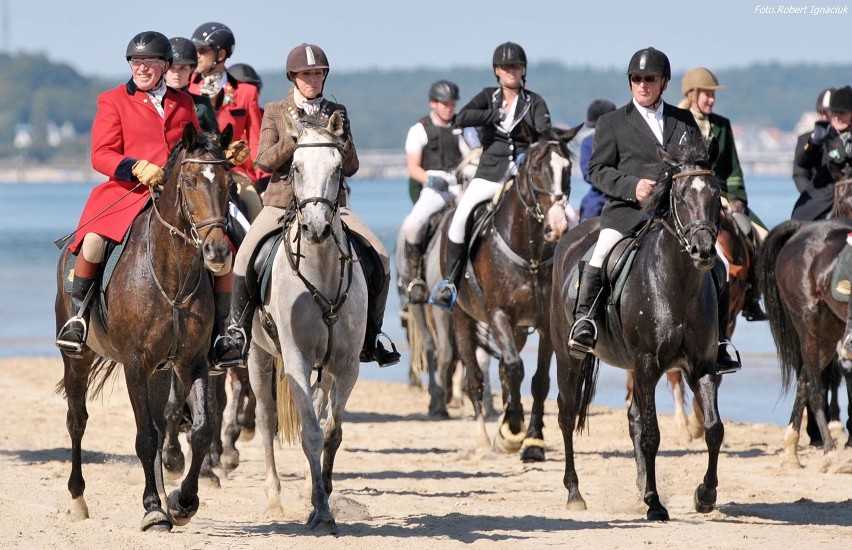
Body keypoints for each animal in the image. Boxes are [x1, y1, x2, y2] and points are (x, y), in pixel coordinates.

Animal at [436, 125, 576, 462]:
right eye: (535, 168)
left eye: (567, 169)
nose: (558, 226)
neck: (531, 252)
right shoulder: (499, 315)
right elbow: (514, 368)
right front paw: (512, 427)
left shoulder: (544, 324)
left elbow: (538, 381)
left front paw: (533, 441)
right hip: (462, 319)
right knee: (475, 379)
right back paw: (484, 440)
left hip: (519, 329)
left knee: (502, 371)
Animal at [548, 142, 724, 520]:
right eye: (681, 195)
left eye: (715, 194)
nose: (703, 250)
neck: (678, 283)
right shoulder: (646, 365)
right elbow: (651, 435)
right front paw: (655, 504)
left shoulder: (702, 366)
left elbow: (714, 429)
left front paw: (705, 495)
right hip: (567, 357)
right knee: (567, 414)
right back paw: (575, 493)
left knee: (632, 417)